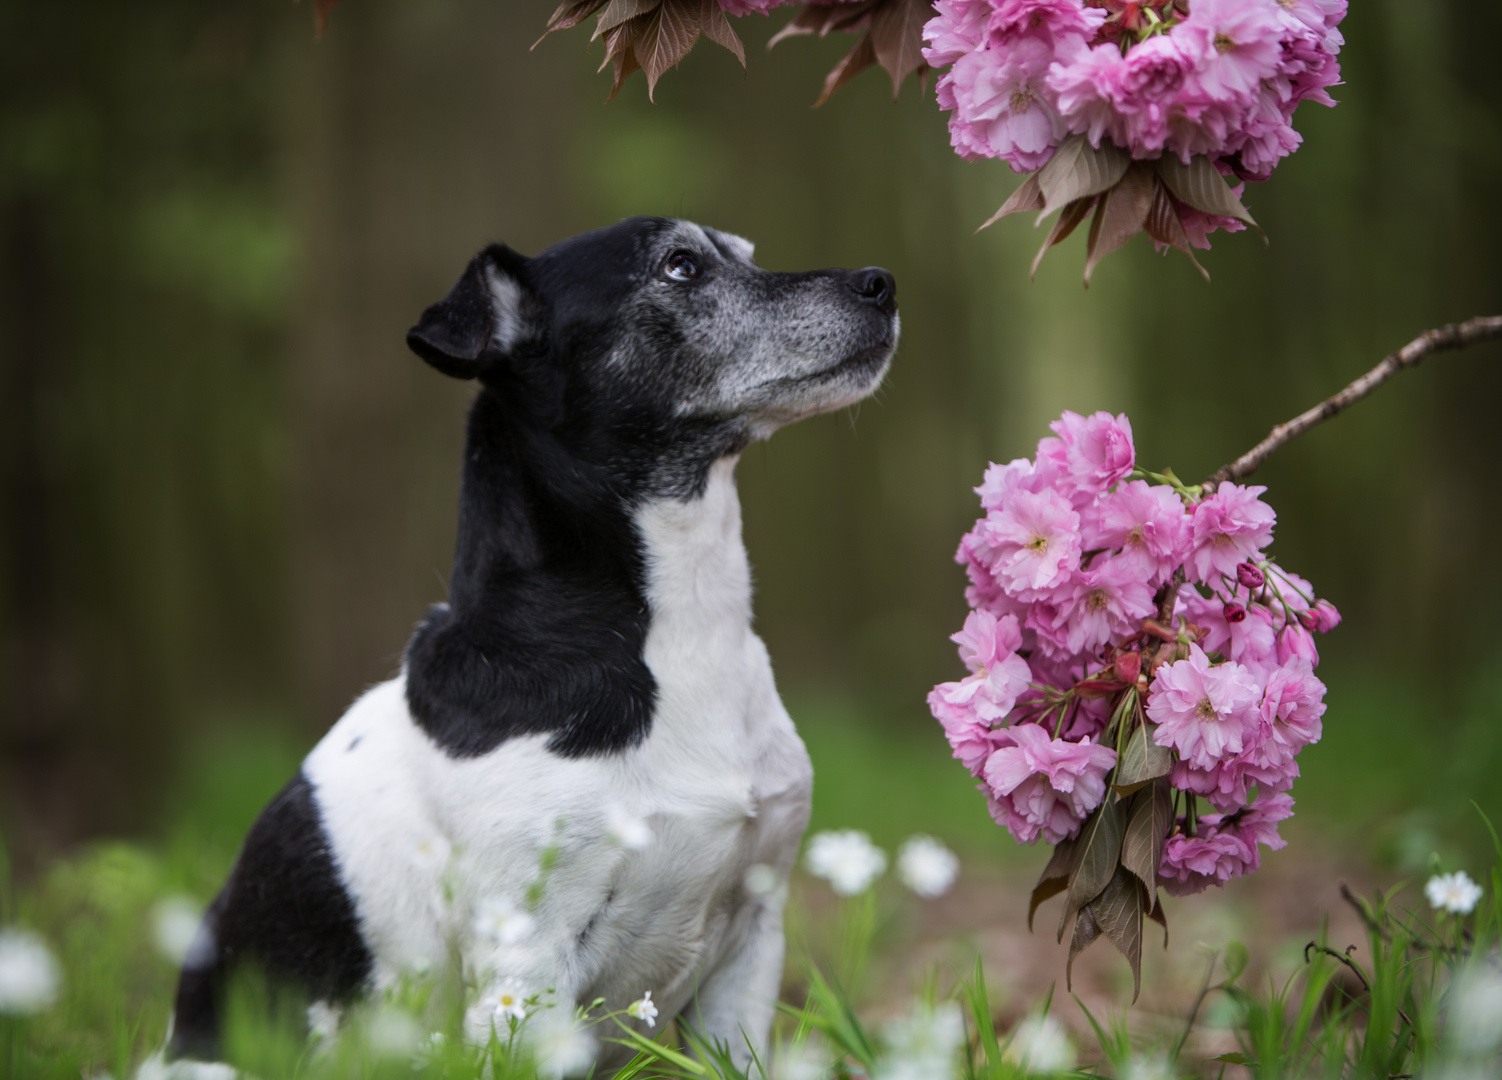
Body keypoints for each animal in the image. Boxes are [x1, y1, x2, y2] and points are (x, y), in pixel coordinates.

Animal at [170, 217, 895, 1075]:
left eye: (746, 256)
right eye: (680, 267)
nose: (882, 283)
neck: (671, 633)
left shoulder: (750, 943)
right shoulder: (527, 960)